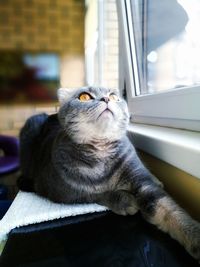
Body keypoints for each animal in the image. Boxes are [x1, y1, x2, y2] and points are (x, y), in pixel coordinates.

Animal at [18, 87, 200, 262]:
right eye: (84, 96)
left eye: (113, 96)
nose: (106, 99)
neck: (101, 153)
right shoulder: (62, 193)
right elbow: (96, 194)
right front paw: (125, 200)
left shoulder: (142, 181)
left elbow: (170, 210)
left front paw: (193, 236)